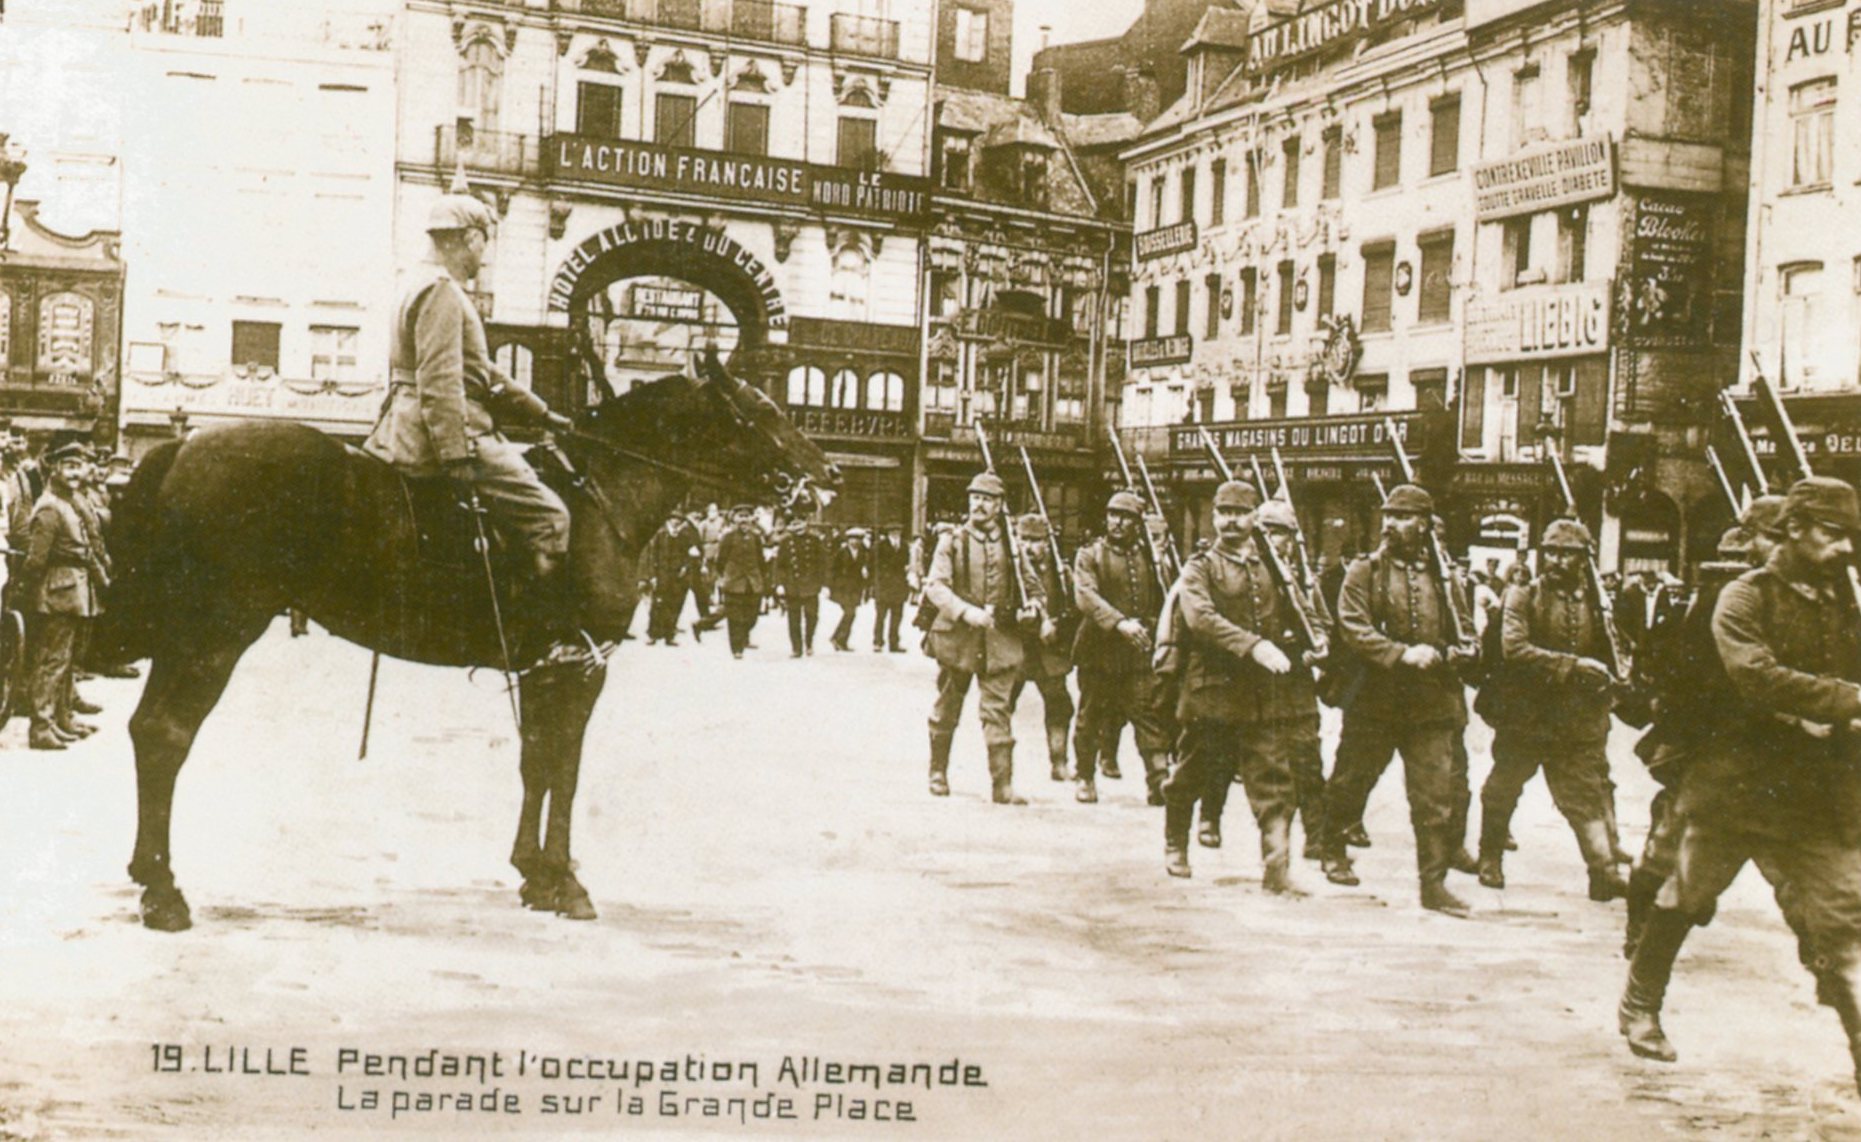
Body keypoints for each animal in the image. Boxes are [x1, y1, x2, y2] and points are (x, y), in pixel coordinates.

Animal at [94, 355, 837, 929]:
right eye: (758, 409)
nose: (826, 477)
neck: (598, 499)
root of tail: (182, 448)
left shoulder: (541, 667)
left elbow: (536, 763)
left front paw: (533, 874)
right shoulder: (581, 665)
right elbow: (564, 768)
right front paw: (565, 880)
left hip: (186, 637)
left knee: (147, 731)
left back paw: (146, 874)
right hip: (213, 635)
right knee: (165, 734)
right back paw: (164, 892)